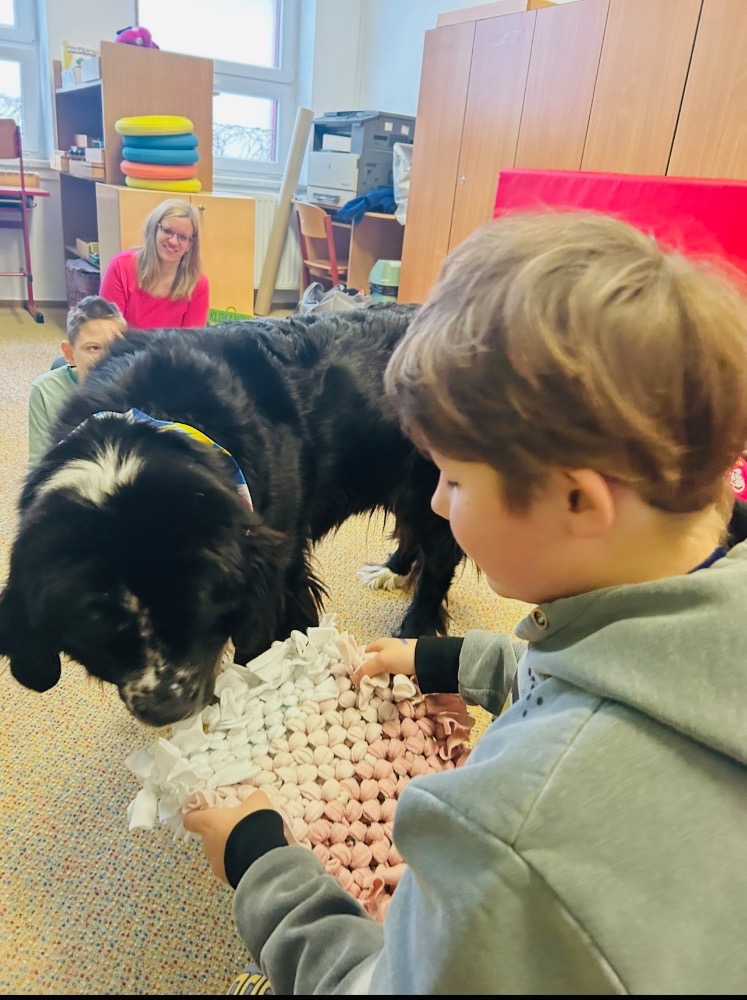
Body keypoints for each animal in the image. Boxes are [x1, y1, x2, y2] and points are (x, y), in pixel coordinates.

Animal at [0, 305, 464, 727]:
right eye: (95, 621)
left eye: (194, 603)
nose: (167, 709)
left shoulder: (278, 576)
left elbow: (258, 645)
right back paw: (392, 570)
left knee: (438, 560)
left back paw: (411, 635)